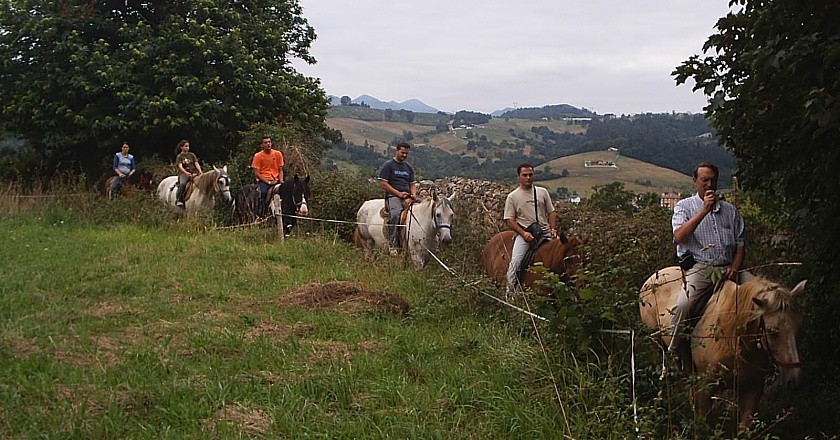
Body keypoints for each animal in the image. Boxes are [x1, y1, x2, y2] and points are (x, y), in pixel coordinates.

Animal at [636, 266, 808, 428]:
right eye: (773, 331)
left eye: (799, 326)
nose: (795, 381)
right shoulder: (706, 388)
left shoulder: (753, 389)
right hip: (659, 346)